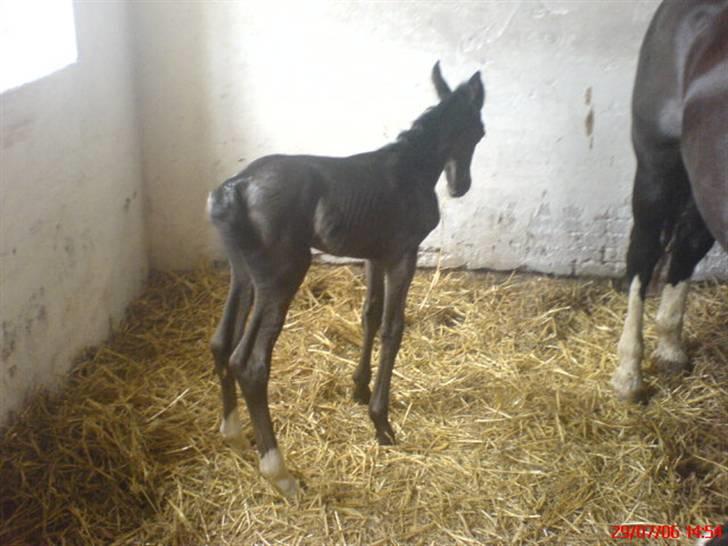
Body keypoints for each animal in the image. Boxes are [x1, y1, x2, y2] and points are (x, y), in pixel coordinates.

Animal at [208, 62, 486, 492]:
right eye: (478, 131)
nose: (461, 186)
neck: (410, 169)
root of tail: (235, 189)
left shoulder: (374, 255)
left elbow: (369, 315)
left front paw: (358, 388)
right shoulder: (403, 254)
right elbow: (393, 328)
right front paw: (382, 423)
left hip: (242, 273)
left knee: (221, 343)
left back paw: (234, 433)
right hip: (281, 274)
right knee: (250, 363)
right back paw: (279, 471)